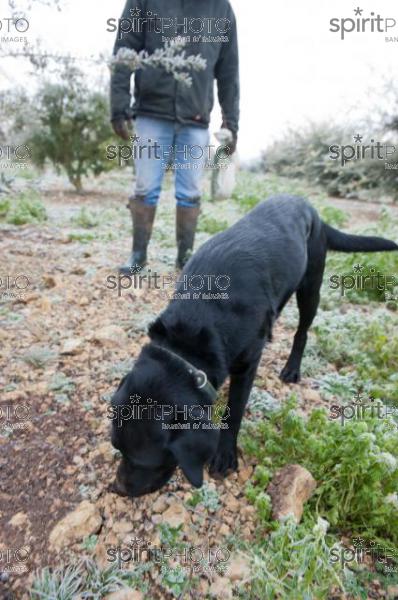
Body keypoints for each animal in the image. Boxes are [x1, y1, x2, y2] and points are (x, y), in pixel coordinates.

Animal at [109, 195, 398, 494]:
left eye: (145, 462)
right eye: (116, 447)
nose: (117, 488)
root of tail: (305, 203)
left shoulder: (247, 363)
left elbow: (234, 411)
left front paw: (225, 454)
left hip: (311, 286)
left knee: (302, 333)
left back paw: (292, 369)